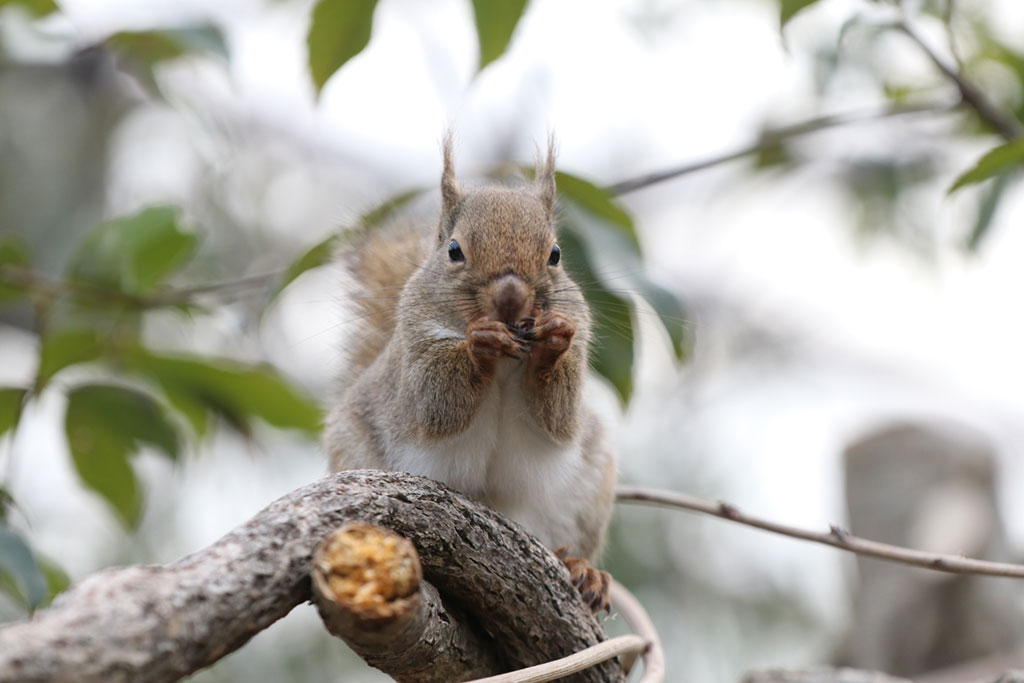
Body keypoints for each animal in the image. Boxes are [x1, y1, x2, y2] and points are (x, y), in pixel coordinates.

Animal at [323, 136, 616, 610]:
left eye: (555, 254)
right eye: (454, 250)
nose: (511, 298)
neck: (509, 360)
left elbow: (558, 417)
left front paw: (554, 340)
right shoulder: (416, 356)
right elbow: (437, 405)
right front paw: (480, 341)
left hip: (591, 483)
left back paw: (579, 567)